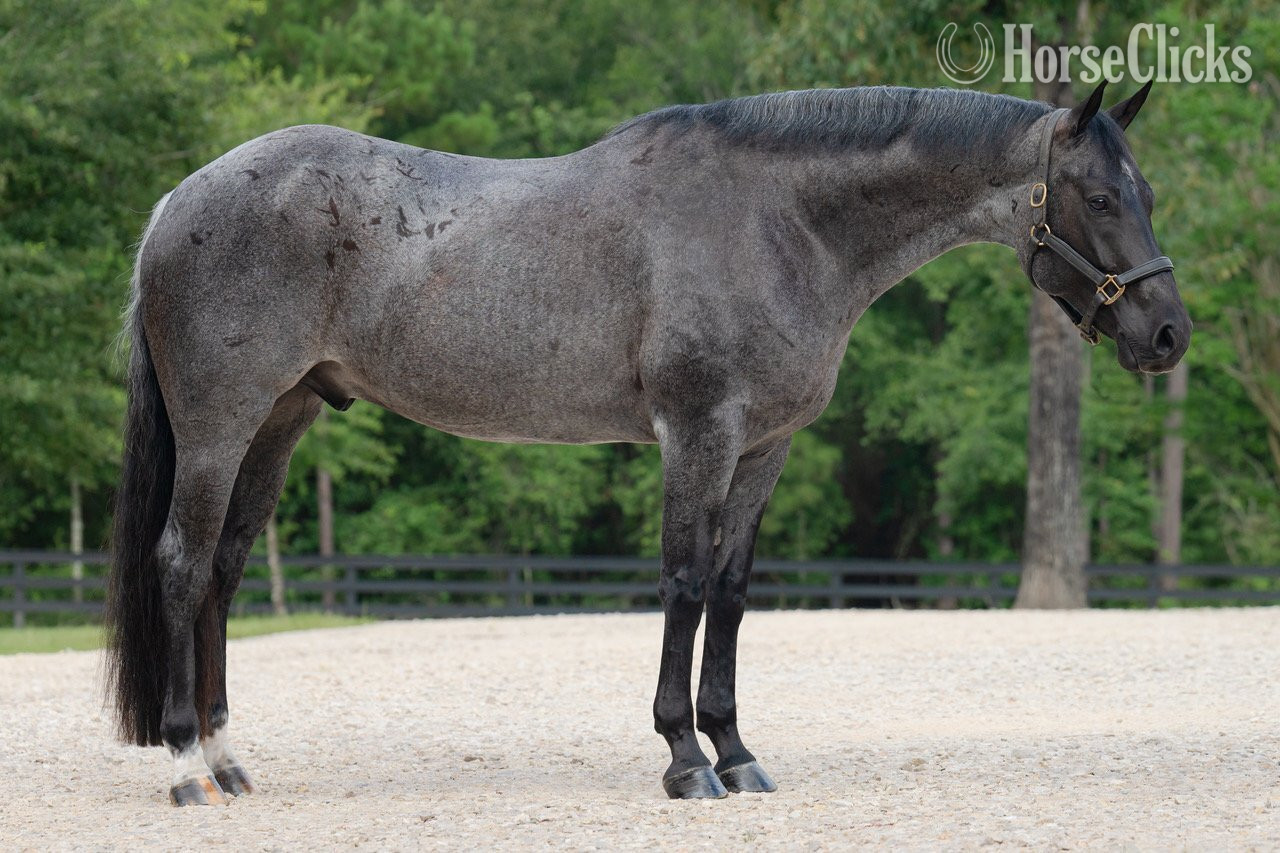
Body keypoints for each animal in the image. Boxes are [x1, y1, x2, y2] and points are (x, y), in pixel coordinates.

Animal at [105, 80, 1190, 805]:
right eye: (1099, 197)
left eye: (1147, 194)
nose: (1168, 334)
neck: (779, 224)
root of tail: (172, 205)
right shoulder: (697, 433)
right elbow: (681, 582)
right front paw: (682, 759)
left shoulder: (764, 449)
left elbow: (733, 593)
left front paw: (737, 752)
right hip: (221, 427)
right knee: (181, 563)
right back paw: (187, 766)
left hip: (278, 423)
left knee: (223, 572)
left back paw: (229, 759)